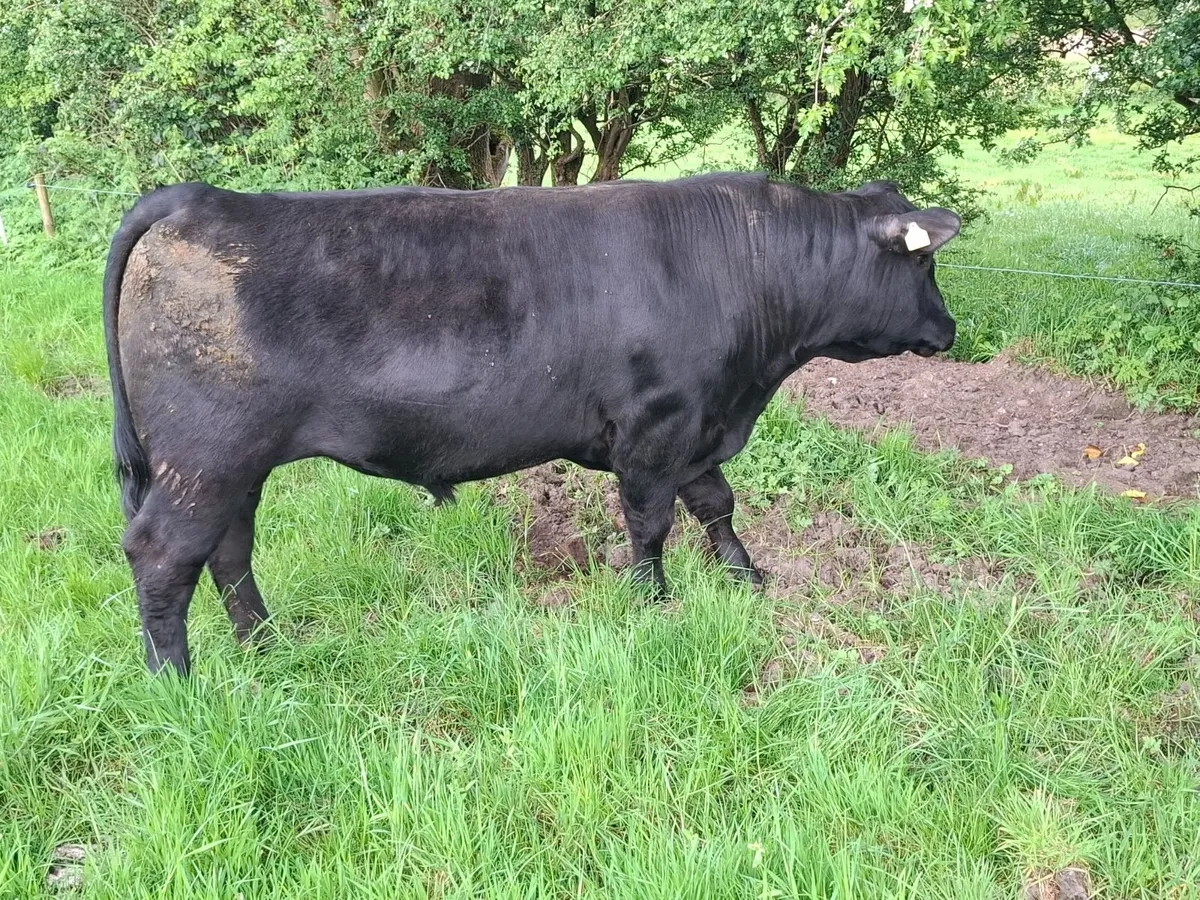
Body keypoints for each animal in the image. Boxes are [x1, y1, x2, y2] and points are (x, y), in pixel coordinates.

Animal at [103, 173, 959, 675]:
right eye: (923, 263)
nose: (949, 330)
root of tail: (198, 196)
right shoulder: (654, 430)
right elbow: (650, 524)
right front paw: (653, 601)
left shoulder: (698, 427)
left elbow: (716, 503)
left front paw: (746, 577)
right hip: (205, 458)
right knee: (163, 556)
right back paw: (178, 683)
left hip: (235, 465)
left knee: (229, 551)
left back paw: (265, 645)